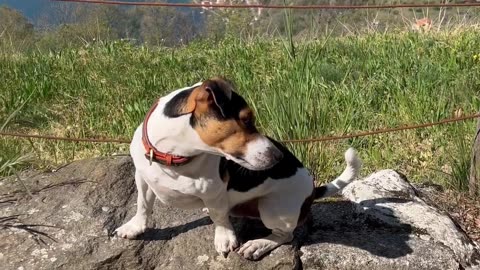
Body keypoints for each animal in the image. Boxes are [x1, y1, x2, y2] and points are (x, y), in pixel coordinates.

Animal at [114, 77, 358, 260]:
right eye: (247, 120)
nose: (279, 156)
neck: (173, 157)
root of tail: (312, 189)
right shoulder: (142, 179)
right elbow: (143, 205)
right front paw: (135, 227)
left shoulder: (213, 191)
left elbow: (219, 218)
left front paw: (224, 238)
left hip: (273, 208)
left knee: (284, 235)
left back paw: (258, 244)